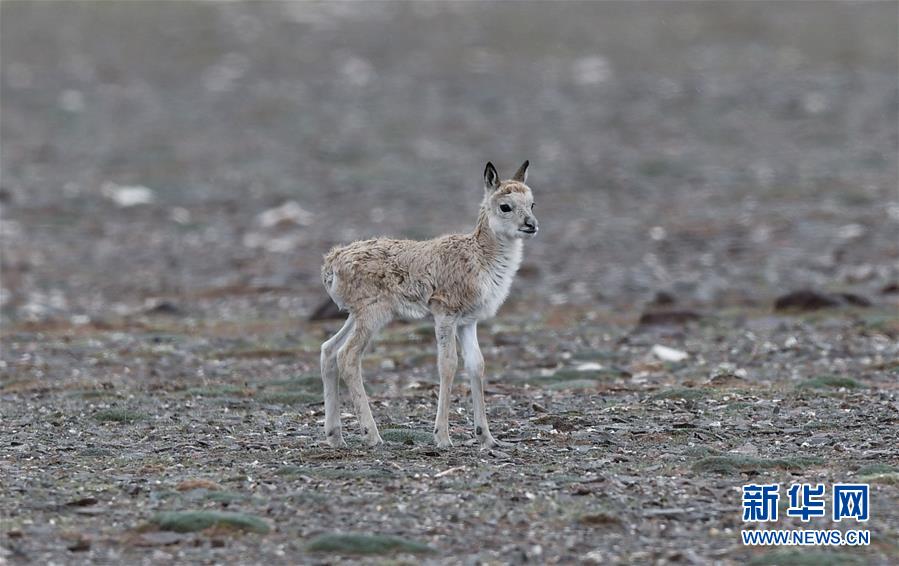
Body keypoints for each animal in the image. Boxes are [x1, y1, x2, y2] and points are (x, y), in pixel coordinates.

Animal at [319, 161, 538, 449]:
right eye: (505, 206)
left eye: (532, 203)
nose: (531, 225)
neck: (481, 256)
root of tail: (331, 262)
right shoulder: (445, 314)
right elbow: (448, 364)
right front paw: (443, 437)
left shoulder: (468, 322)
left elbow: (476, 365)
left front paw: (488, 438)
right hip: (373, 315)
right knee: (348, 356)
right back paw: (372, 435)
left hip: (356, 316)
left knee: (328, 349)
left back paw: (335, 436)